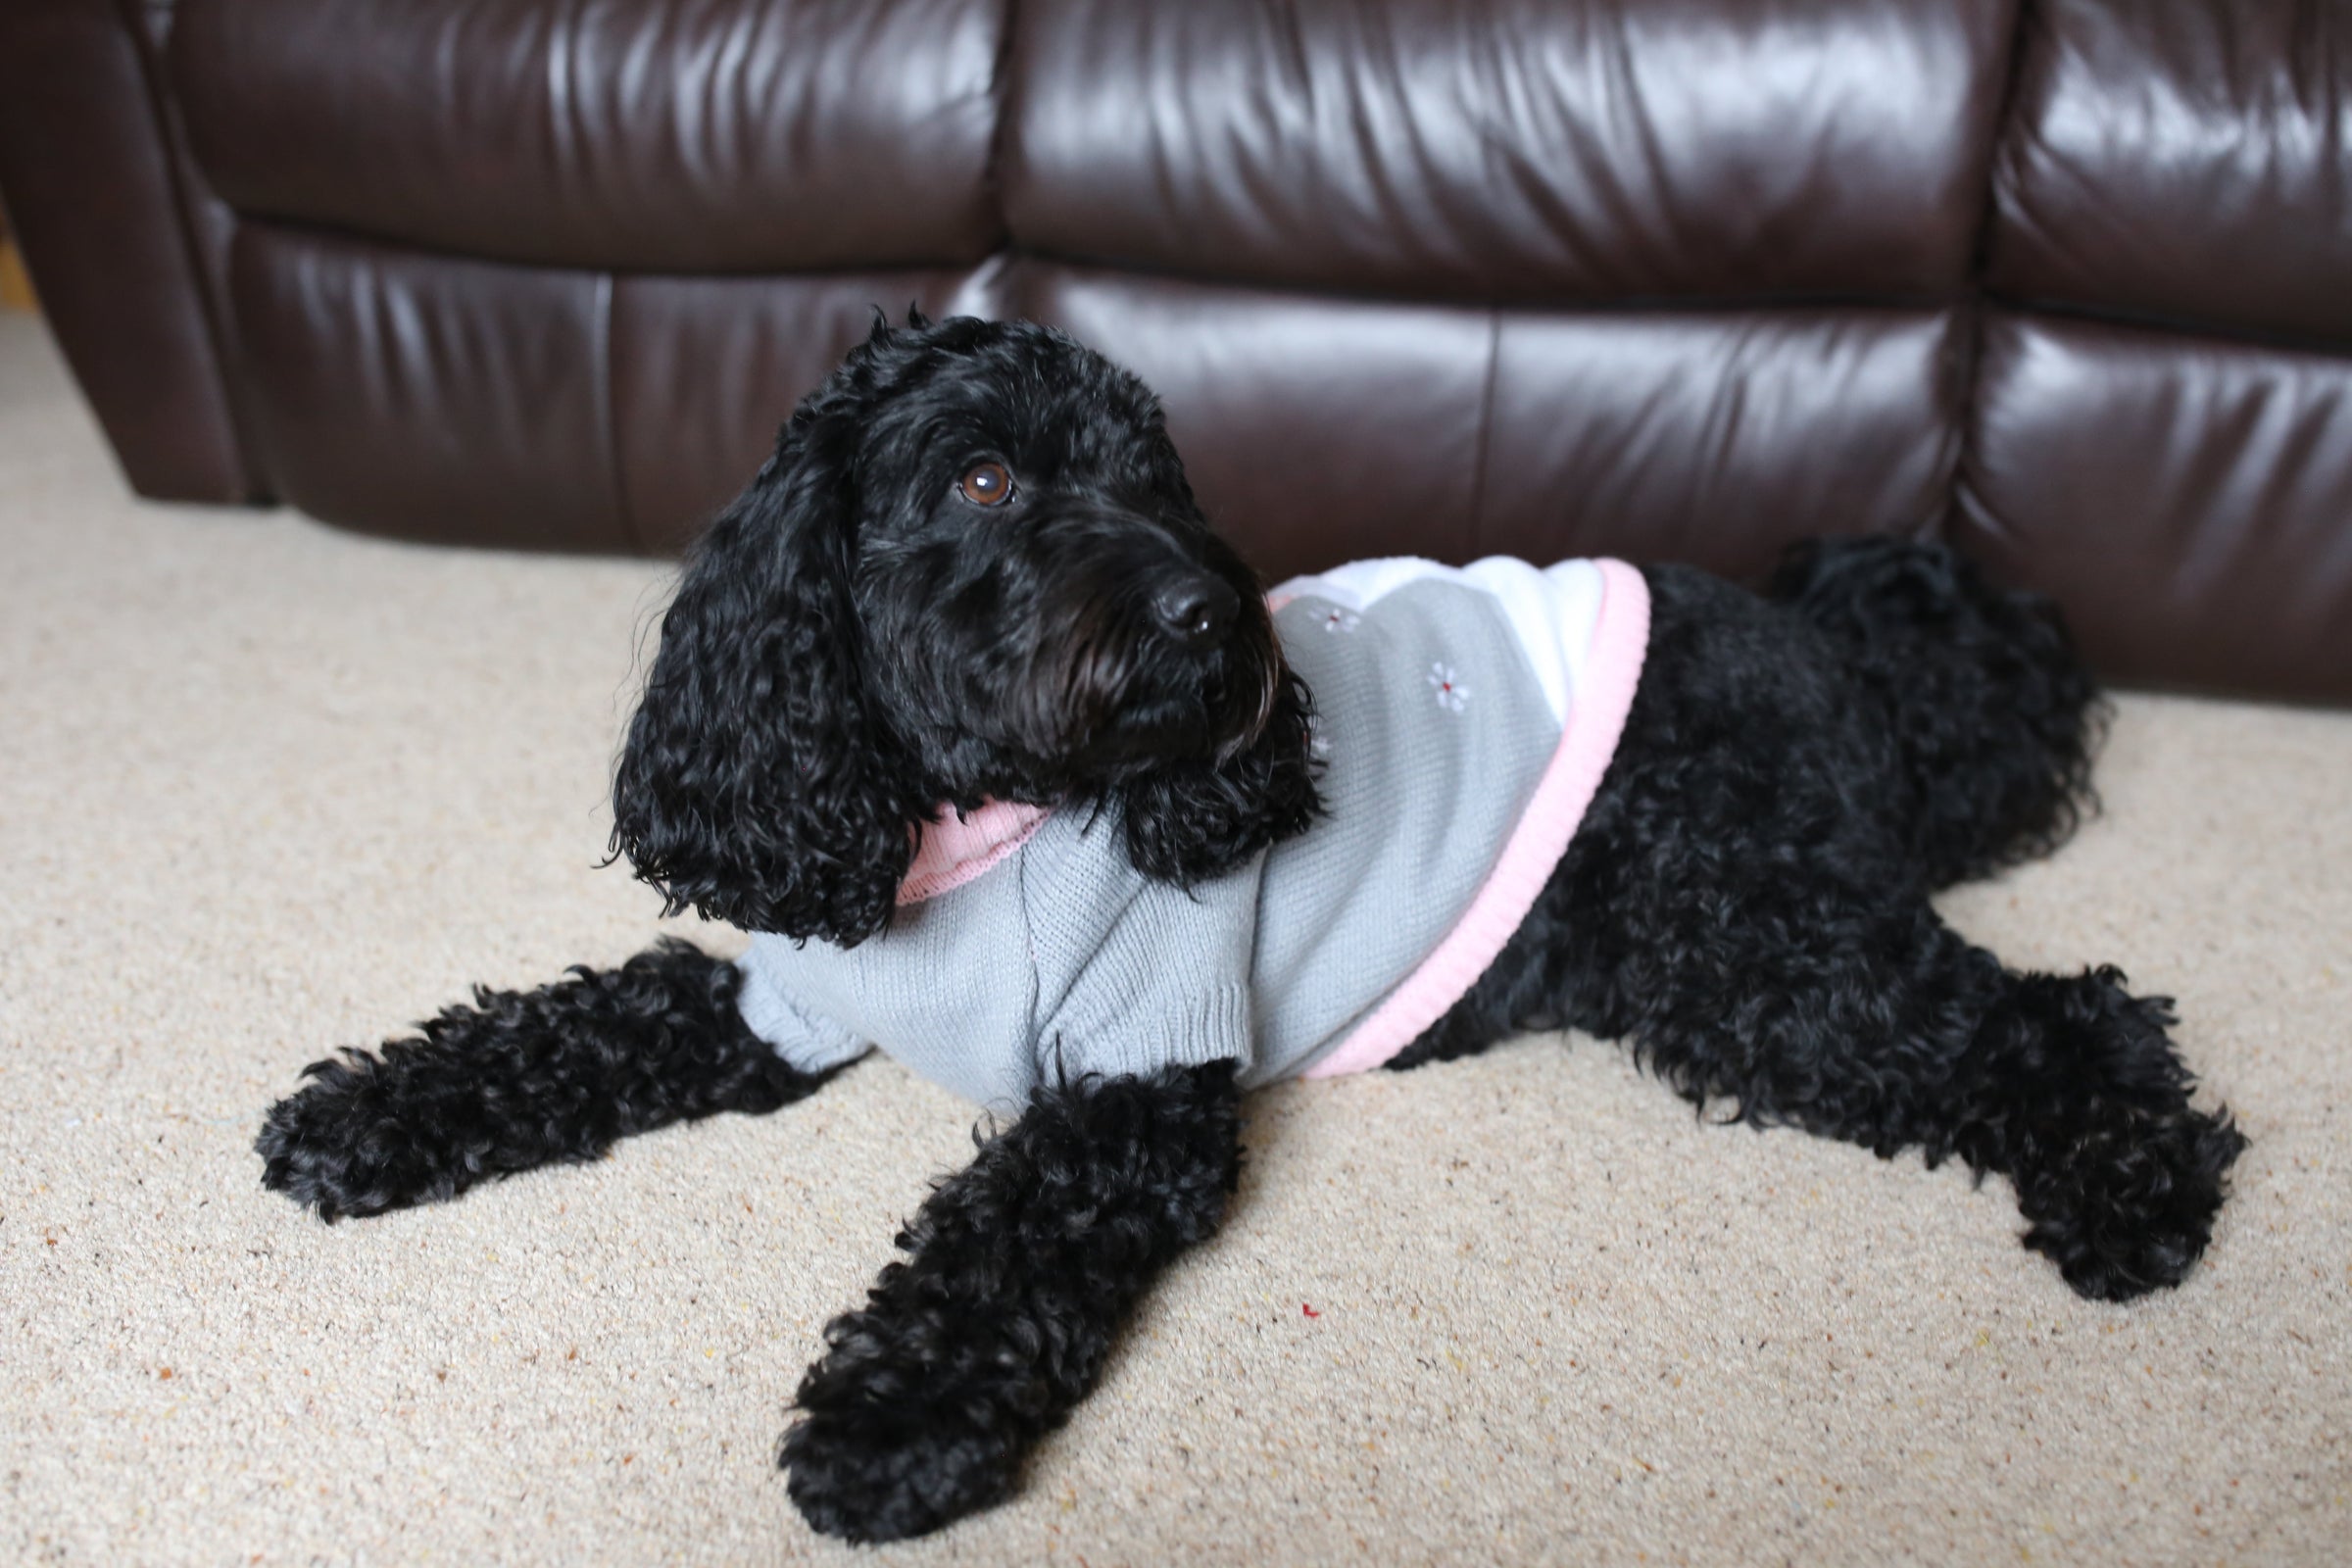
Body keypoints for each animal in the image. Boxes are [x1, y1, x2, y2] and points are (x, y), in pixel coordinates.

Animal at [253, 313, 2238, 1542]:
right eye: (982, 480)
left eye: (1159, 475)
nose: (1213, 618)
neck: (977, 826)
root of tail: (1830, 645)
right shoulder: (781, 992)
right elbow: (578, 1026)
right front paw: (370, 1114)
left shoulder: (1141, 1093)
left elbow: (989, 1248)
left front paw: (885, 1424)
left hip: (1751, 944)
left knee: (2068, 1015)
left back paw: (2138, 1198)